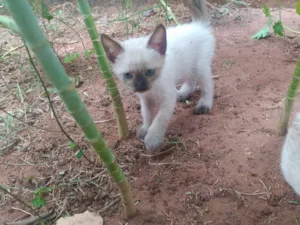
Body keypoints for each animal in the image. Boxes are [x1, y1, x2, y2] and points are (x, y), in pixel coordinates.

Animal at [102, 0, 214, 152]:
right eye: (128, 75)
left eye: (149, 72)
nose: (141, 86)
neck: (152, 89)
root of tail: (198, 24)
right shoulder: (145, 99)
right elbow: (147, 115)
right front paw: (144, 130)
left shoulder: (168, 98)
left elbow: (159, 119)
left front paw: (152, 140)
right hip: (188, 67)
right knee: (191, 81)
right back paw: (182, 94)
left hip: (200, 67)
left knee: (207, 86)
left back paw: (204, 105)